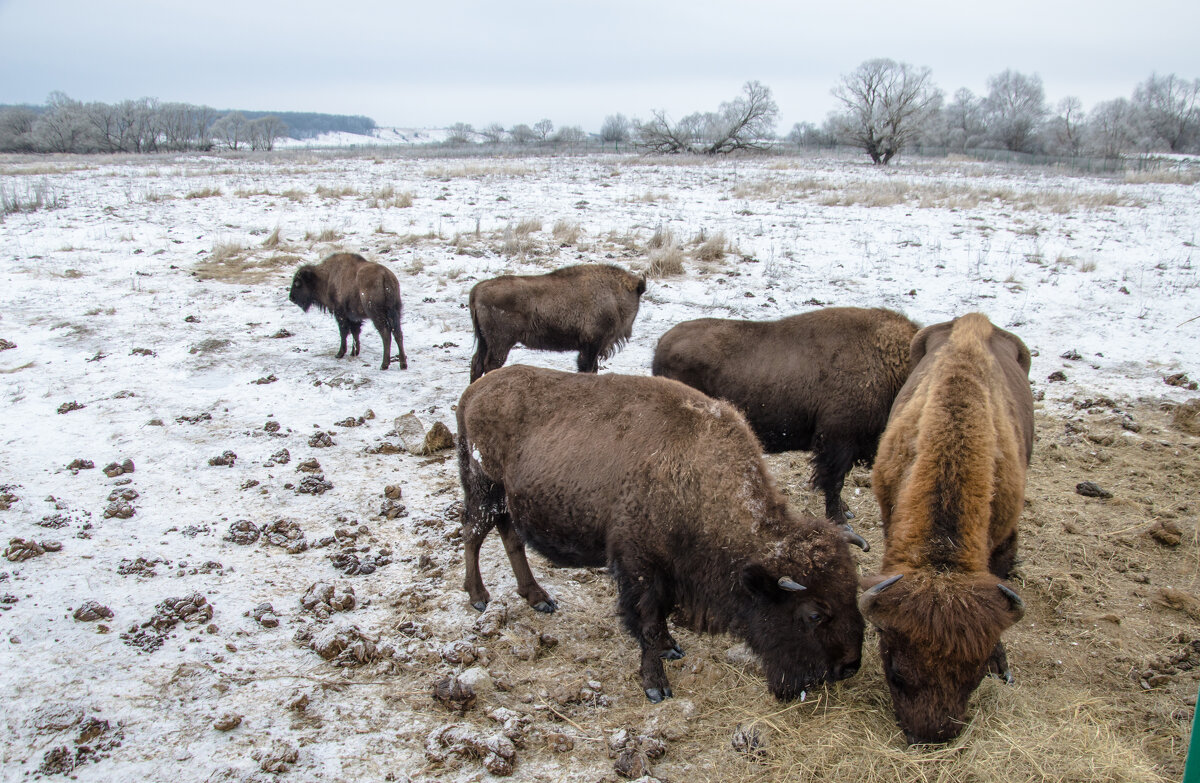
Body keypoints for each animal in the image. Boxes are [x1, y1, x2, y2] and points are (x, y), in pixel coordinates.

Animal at [456, 367, 864, 701]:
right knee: (472, 534)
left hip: (504, 502)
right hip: (485, 490)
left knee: (510, 539)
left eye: (853, 593)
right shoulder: (639, 567)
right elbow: (648, 623)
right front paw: (657, 686)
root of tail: (474, 390)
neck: (698, 477)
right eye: (814, 614)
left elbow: (661, 621)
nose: (849, 667)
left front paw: (671, 648)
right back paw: (479, 597)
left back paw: (538, 597)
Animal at [465, 263, 643, 381]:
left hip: (484, 341)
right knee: (490, 365)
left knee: (476, 364)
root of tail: (477, 289)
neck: (615, 294)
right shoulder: (592, 344)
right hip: (500, 343)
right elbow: (588, 368)